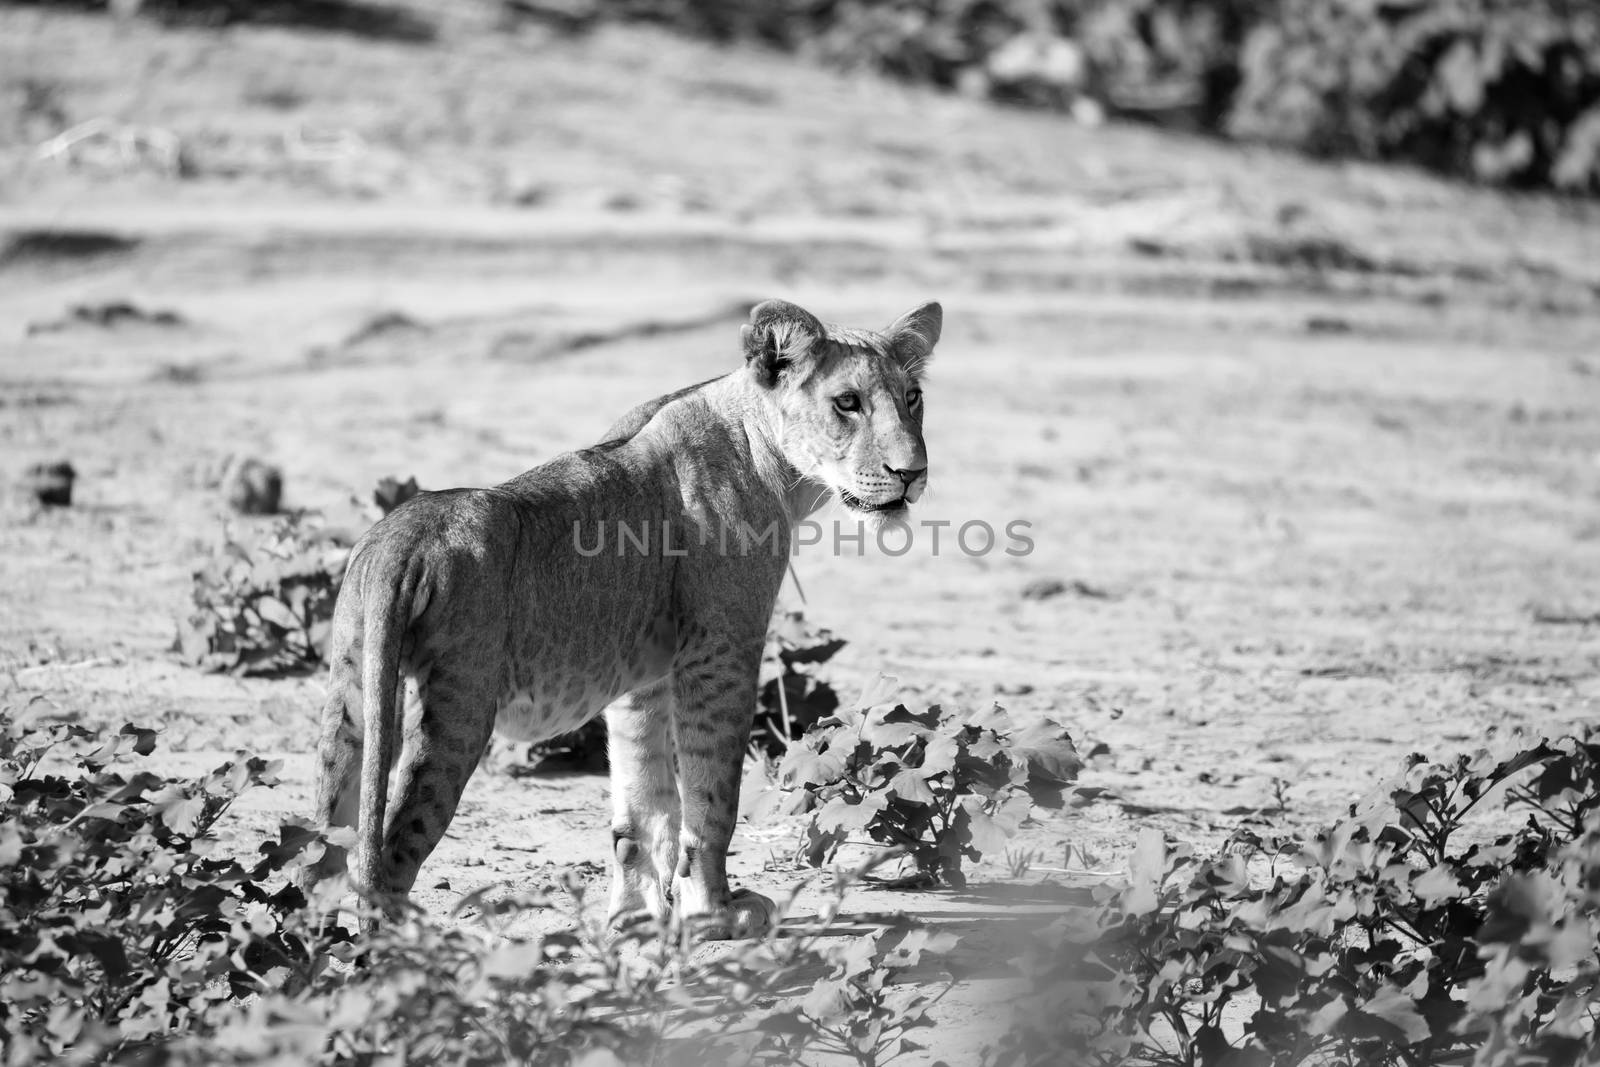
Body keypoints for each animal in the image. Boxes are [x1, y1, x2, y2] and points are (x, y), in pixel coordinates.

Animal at [302, 295, 934, 940]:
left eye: (912, 398)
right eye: (847, 403)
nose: (913, 473)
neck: (771, 458)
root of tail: (401, 539)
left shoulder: (641, 676)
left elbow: (643, 804)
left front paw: (634, 917)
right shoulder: (721, 651)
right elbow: (711, 797)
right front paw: (715, 913)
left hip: (352, 693)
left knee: (323, 850)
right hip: (459, 705)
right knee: (392, 852)